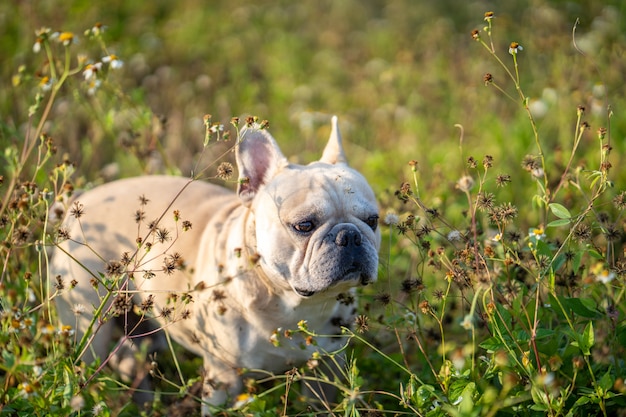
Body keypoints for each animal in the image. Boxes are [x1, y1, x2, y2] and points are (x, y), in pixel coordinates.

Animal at [51, 116, 378, 412]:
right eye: (304, 225)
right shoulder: (223, 379)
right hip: (88, 330)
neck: (291, 303)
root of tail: (80, 200)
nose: (349, 235)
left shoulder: (328, 366)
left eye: (373, 220)